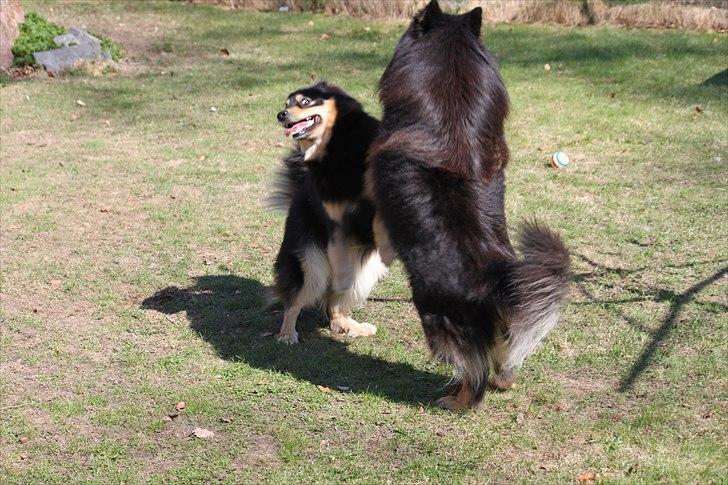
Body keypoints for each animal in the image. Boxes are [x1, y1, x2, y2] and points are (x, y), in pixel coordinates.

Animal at [266, 81, 384, 342]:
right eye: (286, 104)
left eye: (304, 102)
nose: (281, 115)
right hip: (312, 262)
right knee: (296, 299)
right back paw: (287, 333)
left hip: (362, 270)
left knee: (335, 304)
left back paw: (350, 325)